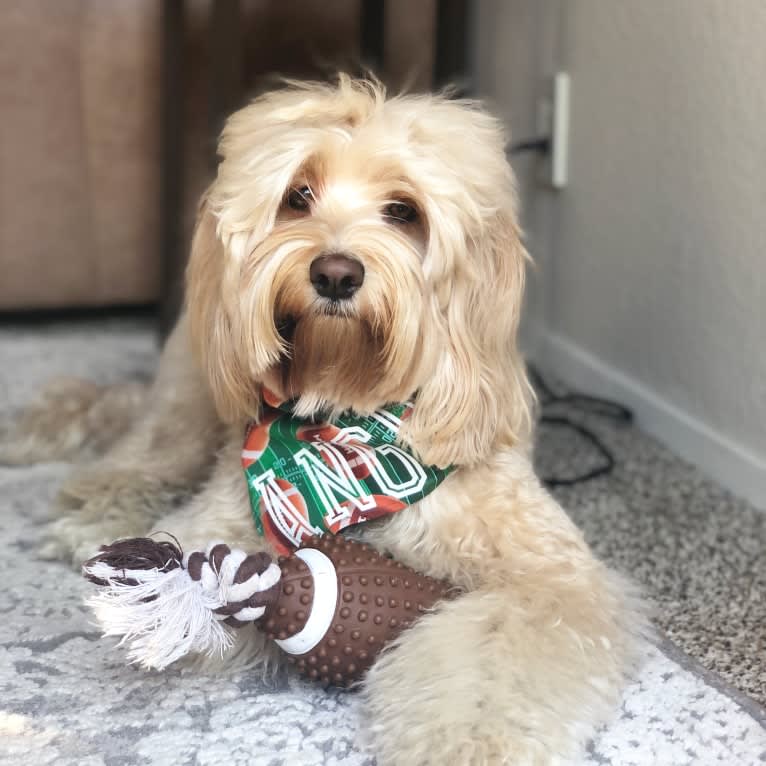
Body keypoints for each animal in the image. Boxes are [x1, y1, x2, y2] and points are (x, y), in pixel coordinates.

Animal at [9, 78, 652, 766]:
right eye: (298, 196)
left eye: (403, 211)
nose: (335, 273)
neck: (347, 424)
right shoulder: (222, 517)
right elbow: (195, 566)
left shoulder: (548, 575)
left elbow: (496, 657)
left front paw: (468, 745)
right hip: (192, 404)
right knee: (142, 448)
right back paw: (94, 512)